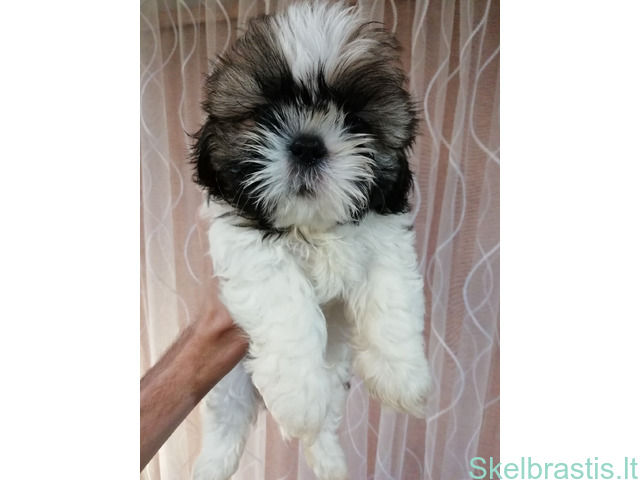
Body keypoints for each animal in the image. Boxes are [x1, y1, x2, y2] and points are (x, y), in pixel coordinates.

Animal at [191, 2, 431, 479]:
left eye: (354, 119)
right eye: (267, 114)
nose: (307, 145)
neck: (314, 226)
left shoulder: (385, 240)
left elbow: (392, 298)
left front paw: (402, 376)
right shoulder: (249, 247)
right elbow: (286, 306)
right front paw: (298, 398)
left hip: (336, 375)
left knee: (327, 422)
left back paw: (331, 462)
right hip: (230, 385)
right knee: (227, 424)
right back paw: (212, 465)